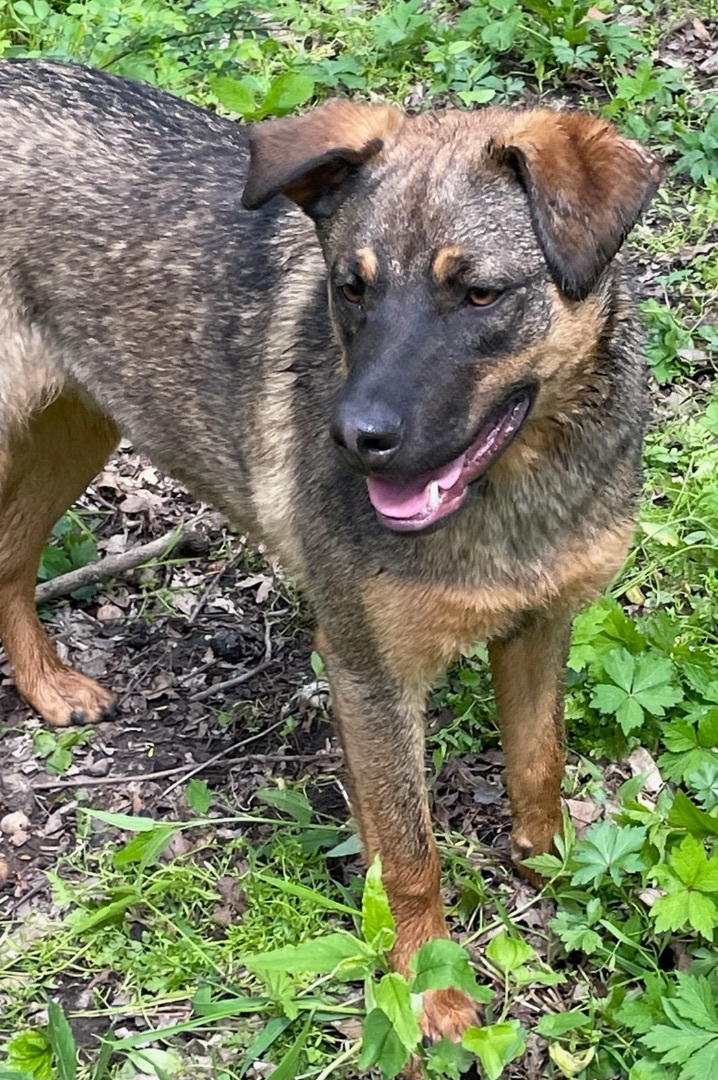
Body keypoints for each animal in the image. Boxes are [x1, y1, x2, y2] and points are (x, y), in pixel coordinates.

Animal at [0, 59, 656, 1045]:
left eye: (479, 294)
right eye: (352, 288)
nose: (353, 438)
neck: (519, 486)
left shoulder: (540, 626)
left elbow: (537, 767)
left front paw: (555, 872)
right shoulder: (370, 675)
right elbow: (412, 855)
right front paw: (428, 988)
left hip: (73, 429)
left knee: (8, 557)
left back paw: (47, 687)